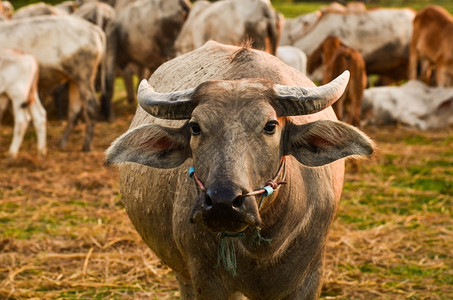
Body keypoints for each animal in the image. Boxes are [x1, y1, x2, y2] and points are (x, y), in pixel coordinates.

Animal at [0, 15, 105, 152]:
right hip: (74, 80)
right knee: (74, 109)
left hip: (84, 76)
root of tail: (93, 29)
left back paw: (86, 145)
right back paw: (62, 142)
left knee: (91, 106)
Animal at [104, 40, 372, 300]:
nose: (222, 202)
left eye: (270, 125)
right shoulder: (207, 281)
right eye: (194, 127)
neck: (262, 249)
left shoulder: (310, 278)